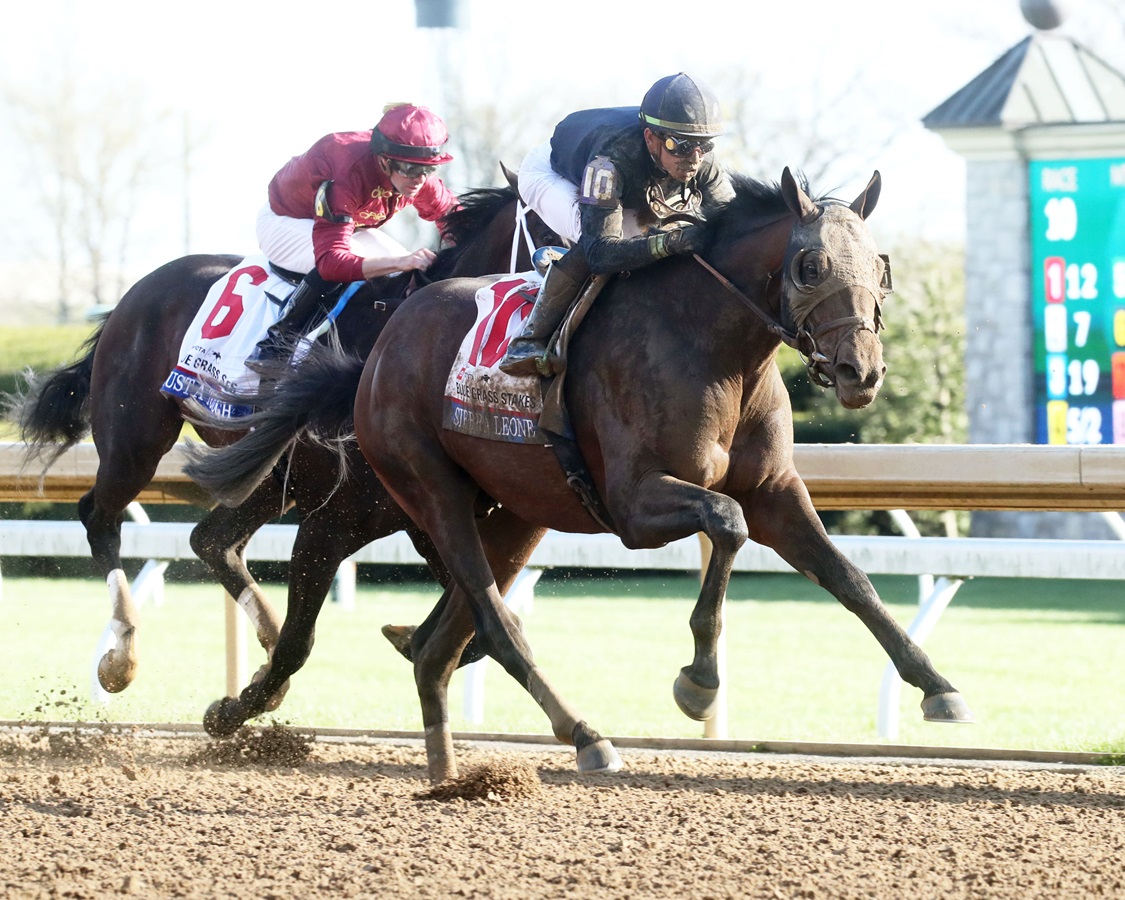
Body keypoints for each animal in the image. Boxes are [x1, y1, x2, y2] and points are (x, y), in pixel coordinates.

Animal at [8, 178, 562, 729]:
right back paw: (121, 658)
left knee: (211, 539)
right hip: (136, 441)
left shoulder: (427, 516)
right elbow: (308, 641)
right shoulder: (339, 517)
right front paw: (234, 707)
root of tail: (133, 295)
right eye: (550, 232)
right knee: (99, 516)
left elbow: (481, 621)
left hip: (267, 475)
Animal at [344, 166, 976, 778]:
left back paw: (445, 768)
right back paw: (586, 737)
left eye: (880, 268)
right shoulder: (633, 504)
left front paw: (938, 686)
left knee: (438, 644)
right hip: (434, 487)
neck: (717, 347)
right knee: (494, 618)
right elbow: (728, 522)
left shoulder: (774, 491)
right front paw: (699, 683)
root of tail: (388, 335)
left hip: (517, 514)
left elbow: (849, 578)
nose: (860, 371)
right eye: (812, 266)